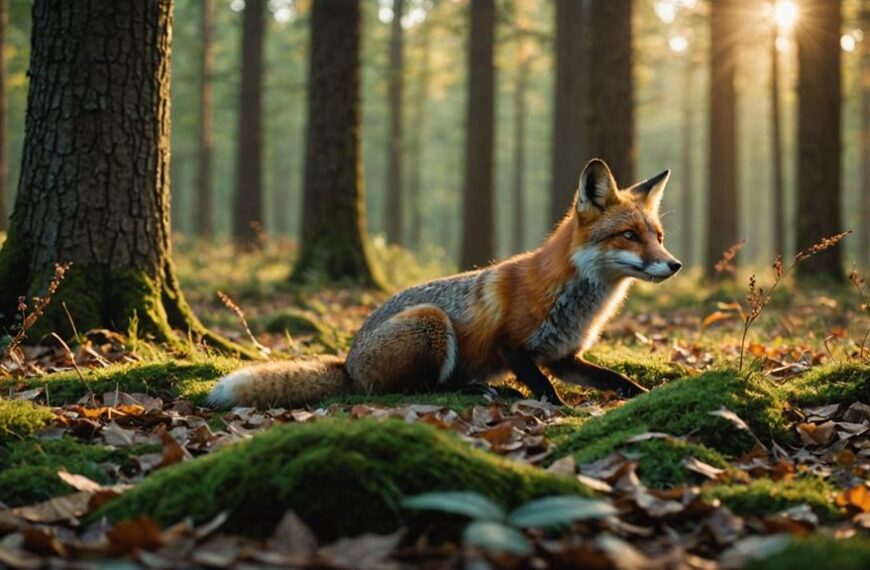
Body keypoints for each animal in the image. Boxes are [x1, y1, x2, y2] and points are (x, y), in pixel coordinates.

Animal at [208, 158, 682, 409]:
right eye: (629, 235)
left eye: (658, 237)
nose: (674, 265)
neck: (578, 302)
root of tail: (348, 363)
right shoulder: (512, 346)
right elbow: (544, 388)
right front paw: (559, 409)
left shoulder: (564, 356)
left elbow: (613, 377)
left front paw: (646, 393)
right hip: (431, 321)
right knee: (416, 389)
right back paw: (480, 388)